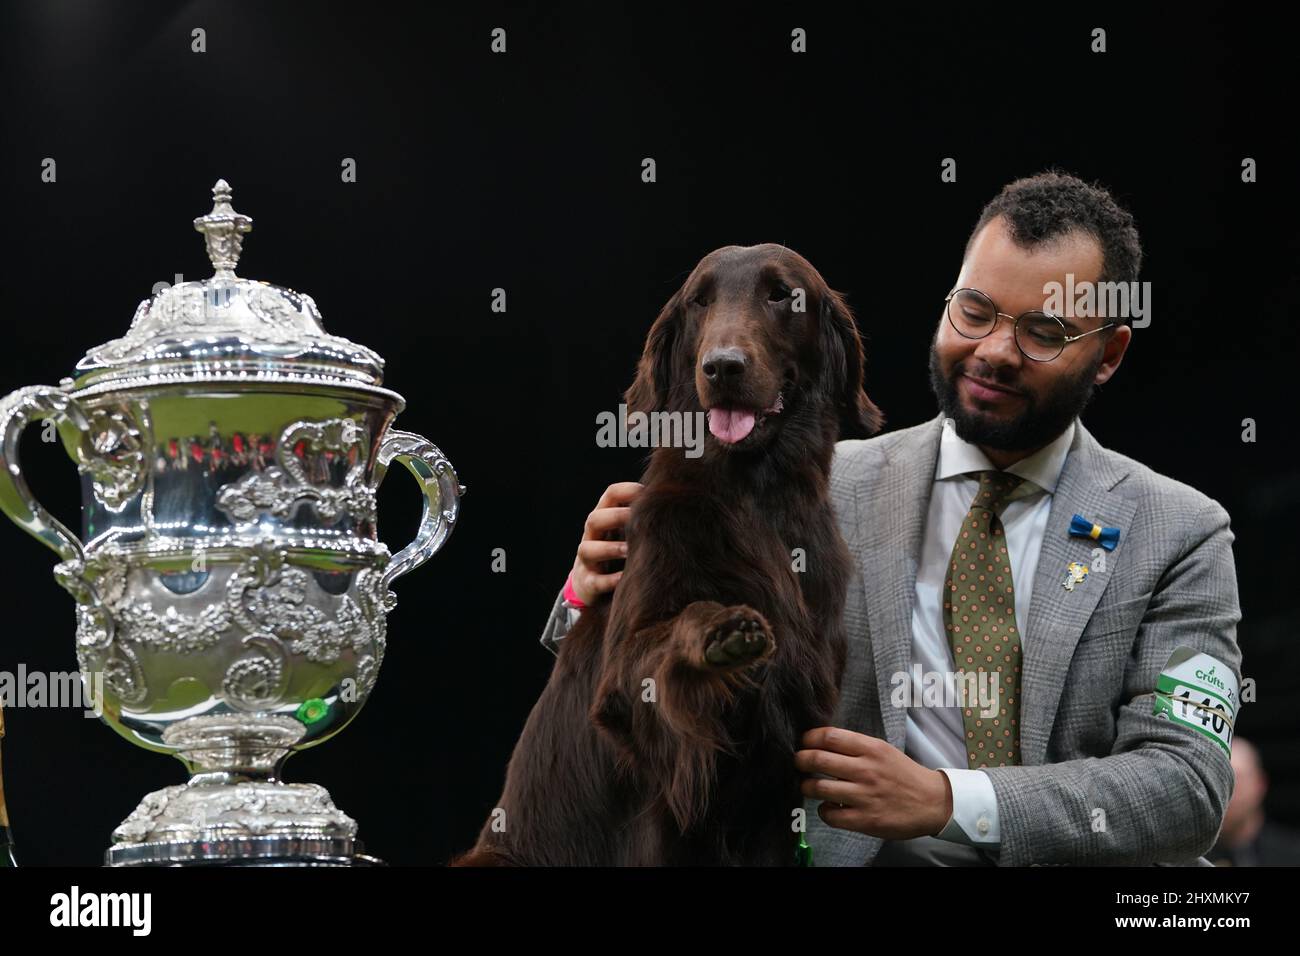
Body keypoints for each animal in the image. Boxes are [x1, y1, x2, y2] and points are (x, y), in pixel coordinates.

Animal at [449, 243, 883, 863]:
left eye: (782, 295)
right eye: (700, 301)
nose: (722, 367)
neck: (756, 495)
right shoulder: (642, 716)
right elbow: (664, 645)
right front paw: (720, 635)